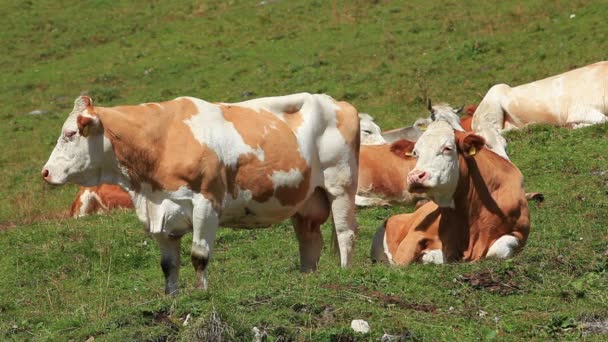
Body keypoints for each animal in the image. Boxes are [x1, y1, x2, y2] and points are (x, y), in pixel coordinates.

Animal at [42, 93, 360, 294]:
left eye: (70, 134)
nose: (45, 172)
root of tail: (338, 103)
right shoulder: (161, 212)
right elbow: (168, 264)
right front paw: (172, 297)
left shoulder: (206, 203)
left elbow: (199, 255)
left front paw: (200, 292)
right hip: (307, 199)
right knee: (310, 239)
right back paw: (308, 277)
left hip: (340, 185)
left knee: (345, 232)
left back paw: (345, 272)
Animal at [368, 120, 528, 264]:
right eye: (415, 153)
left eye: (447, 148)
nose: (415, 176)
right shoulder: (415, 236)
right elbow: (402, 261)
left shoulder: (520, 233)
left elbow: (497, 251)